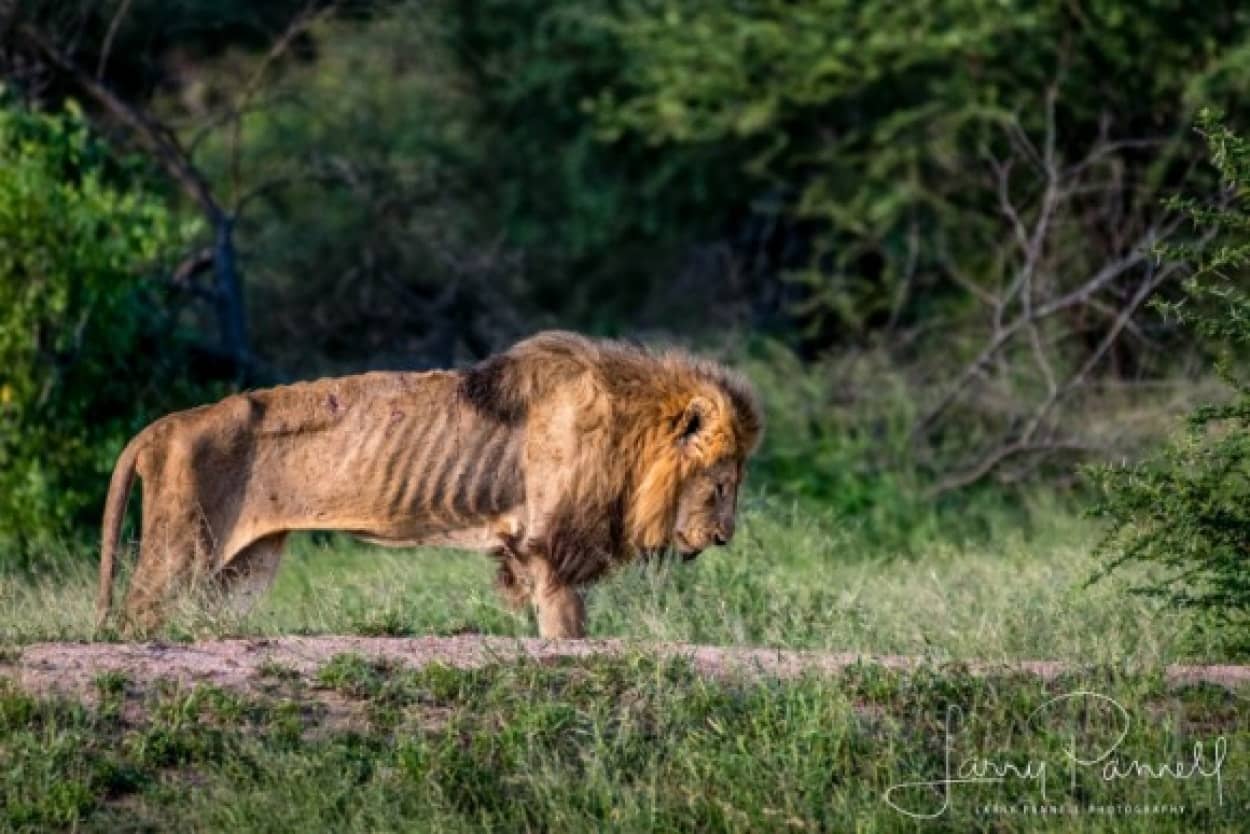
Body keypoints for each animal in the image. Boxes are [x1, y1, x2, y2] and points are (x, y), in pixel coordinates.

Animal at [95, 330, 760, 640]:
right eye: (721, 485)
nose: (725, 538)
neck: (629, 430)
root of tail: (162, 425)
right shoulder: (551, 546)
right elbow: (566, 628)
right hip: (181, 550)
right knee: (135, 618)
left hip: (241, 570)